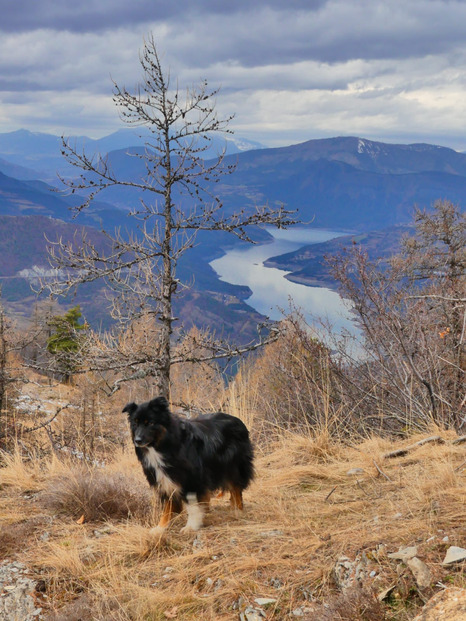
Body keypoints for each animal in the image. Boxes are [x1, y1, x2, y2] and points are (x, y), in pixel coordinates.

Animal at [124, 394, 253, 532]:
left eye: (151, 423)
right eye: (135, 423)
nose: (137, 440)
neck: (164, 445)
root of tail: (237, 420)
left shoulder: (191, 477)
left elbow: (192, 504)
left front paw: (190, 526)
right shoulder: (164, 478)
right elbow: (167, 506)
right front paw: (160, 528)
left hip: (233, 465)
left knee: (236, 487)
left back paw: (238, 510)